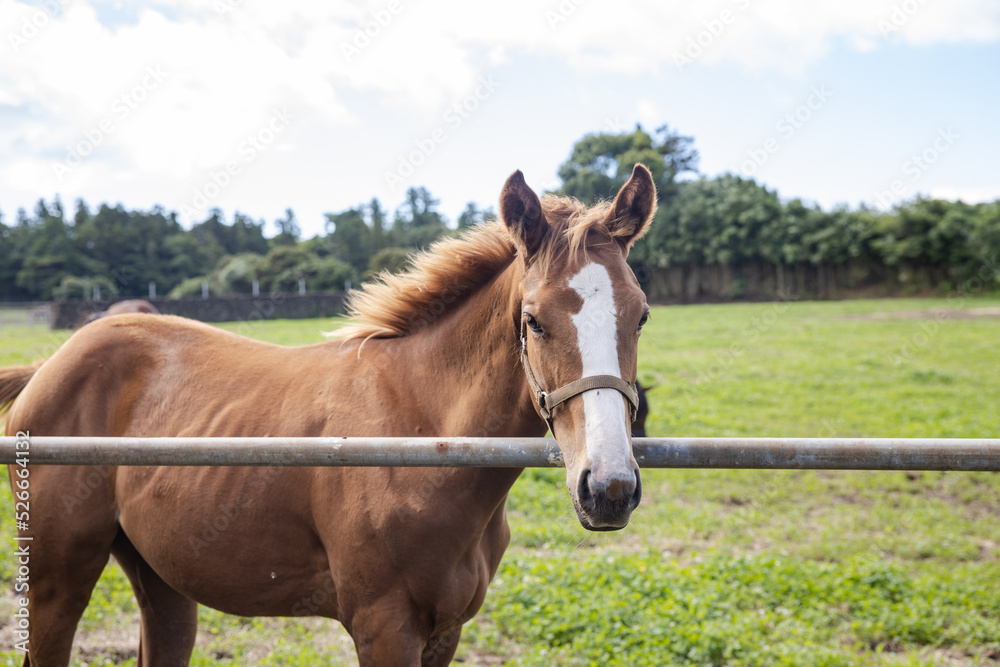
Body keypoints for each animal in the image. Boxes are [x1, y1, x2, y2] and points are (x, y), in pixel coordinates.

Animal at [3, 164, 660, 664]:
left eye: (642, 315)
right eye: (534, 321)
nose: (608, 488)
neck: (423, 438)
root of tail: (49, 365)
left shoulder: (445, 631)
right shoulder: (384, 627)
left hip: (161, 581)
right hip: (56, 581)